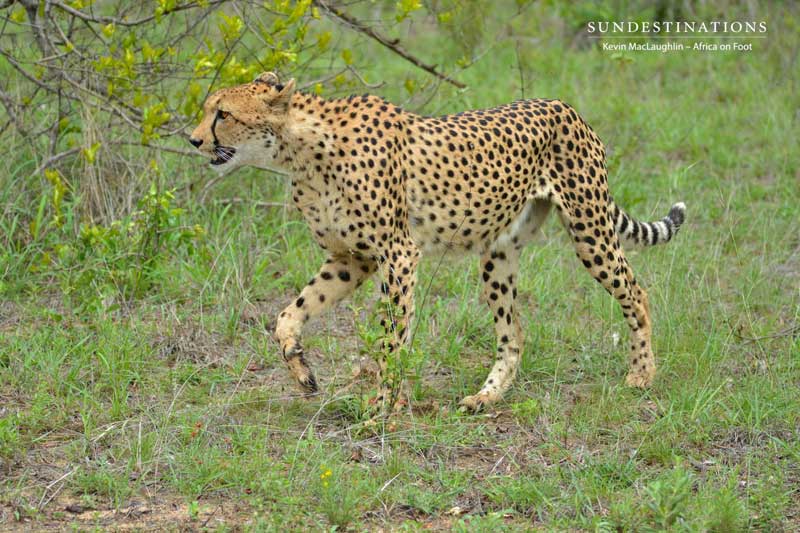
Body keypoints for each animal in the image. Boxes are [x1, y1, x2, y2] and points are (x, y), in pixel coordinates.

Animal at [189, 71, 686, 411]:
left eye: (223, 114)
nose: (193, 141)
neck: (302, 150)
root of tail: (565, 105)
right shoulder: (351, 258)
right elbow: (289, 314)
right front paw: (301, 371)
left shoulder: (398, 255)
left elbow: (392, 339)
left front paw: (383, 408)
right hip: (499, 253)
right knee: (513, 332)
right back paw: (486, 397)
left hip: (589, 229)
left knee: (636, 292)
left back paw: (642, 374)